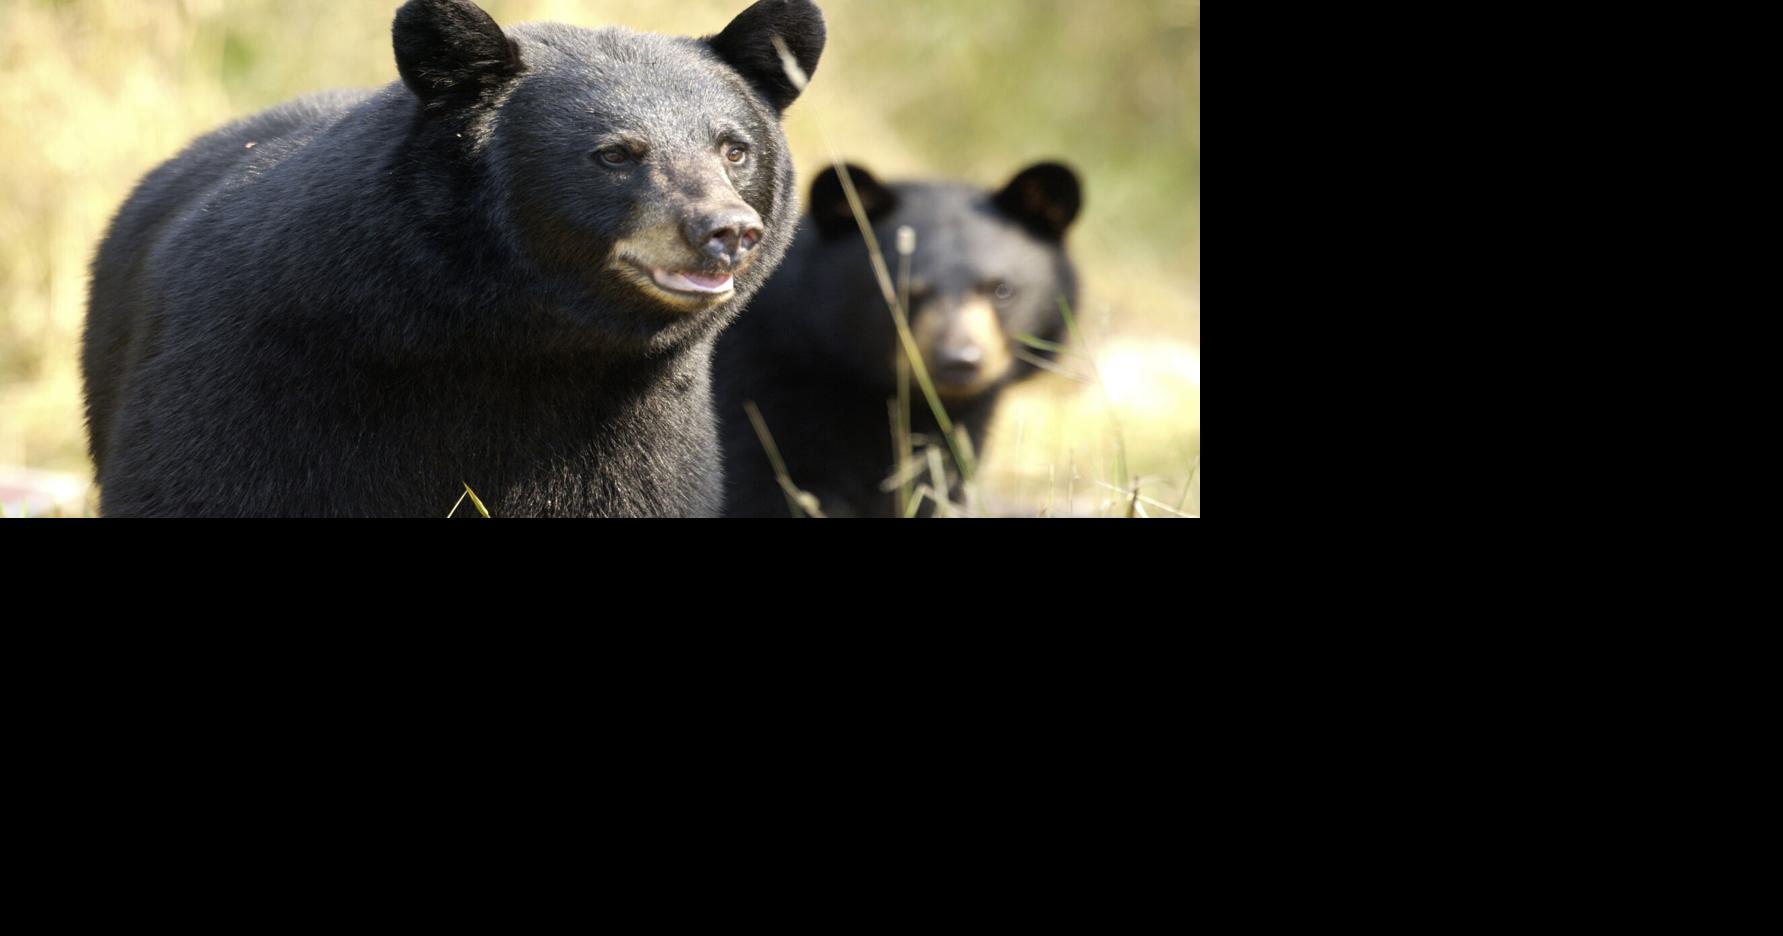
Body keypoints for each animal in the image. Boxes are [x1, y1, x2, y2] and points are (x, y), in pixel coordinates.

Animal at [81, 0, 826, 517]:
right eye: (616, 153)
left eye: (734, 148)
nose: (727, 230)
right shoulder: (251, 373)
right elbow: (201, 481)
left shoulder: (637, 431)